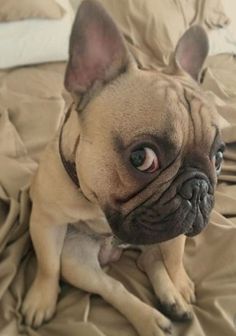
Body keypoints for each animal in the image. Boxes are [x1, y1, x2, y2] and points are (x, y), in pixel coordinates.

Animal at [21, 0, 225, 334]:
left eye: (219, 158)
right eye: (142, 158)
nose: (199, 187)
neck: (95, 201)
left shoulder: (177, 229)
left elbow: (175, 257)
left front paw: (180, 283)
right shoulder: (45, 222)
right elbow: (48, 266)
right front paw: (41, 300)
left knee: (152, 261)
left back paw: (172, 299)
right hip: (75, 261)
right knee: (112, 287)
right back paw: (152, 318)